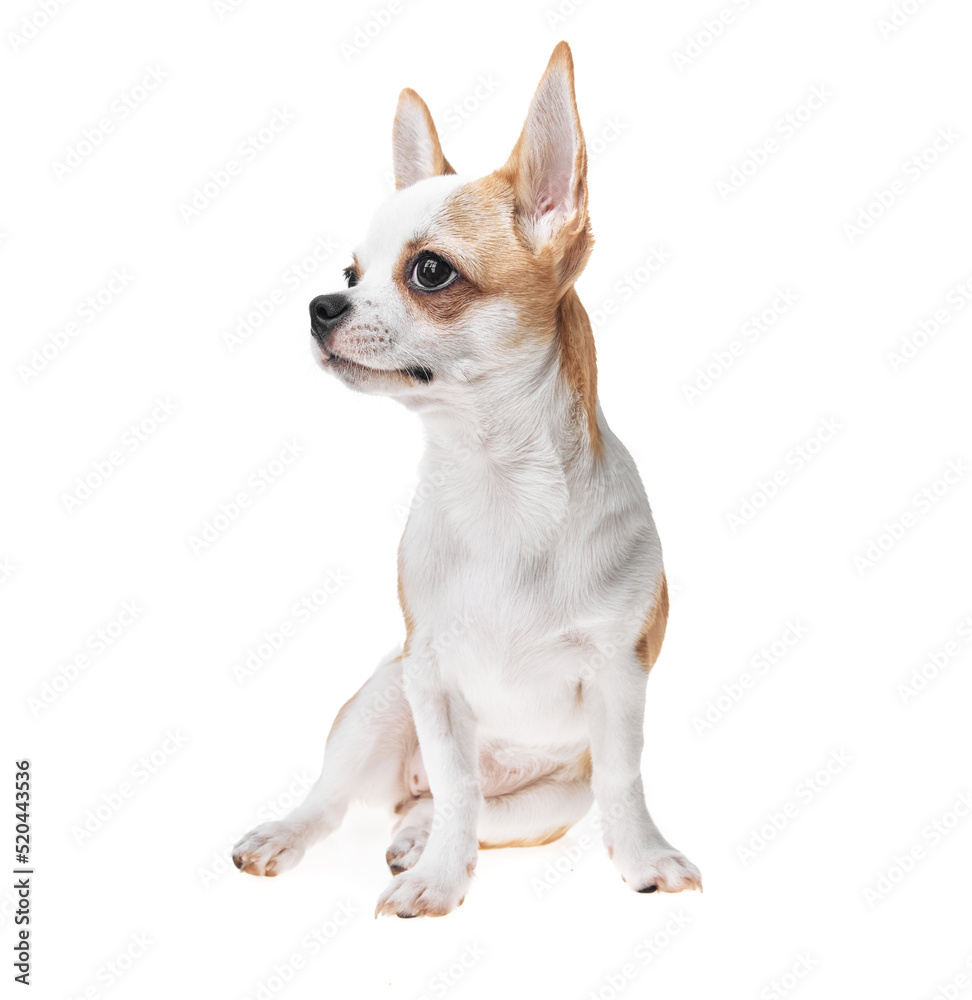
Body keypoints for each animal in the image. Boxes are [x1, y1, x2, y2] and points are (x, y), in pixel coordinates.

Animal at [232, 41, 704, 920]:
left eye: (429, 271)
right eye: (350, 270)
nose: (321, 304)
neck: (498, 483)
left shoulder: (619, 679)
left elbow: (624, 782)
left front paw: (643, 858)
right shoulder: (430, 671)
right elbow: (455, 784)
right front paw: (440, 882)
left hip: (553, 797)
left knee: (479, 808)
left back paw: (414, 837)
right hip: (381, 697)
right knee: (358, 800)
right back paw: (304, 834)